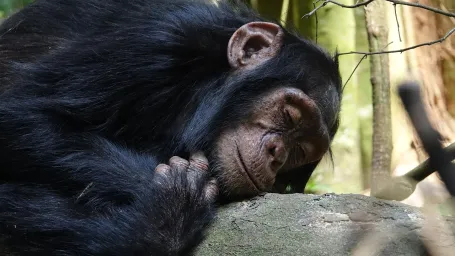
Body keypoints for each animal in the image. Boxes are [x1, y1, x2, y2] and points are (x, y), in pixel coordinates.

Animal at [0, 0, 342, 255]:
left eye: (300, 150)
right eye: (290, 115)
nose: (277, 153)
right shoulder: (161, 41)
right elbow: (25, 114)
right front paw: (174, 195)